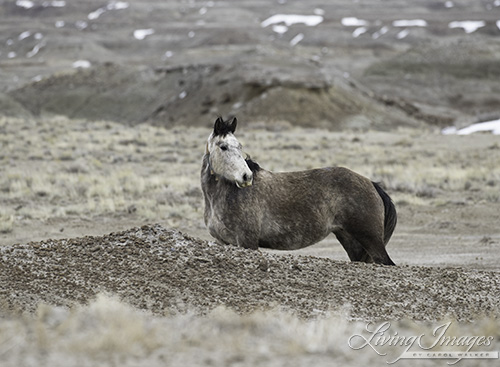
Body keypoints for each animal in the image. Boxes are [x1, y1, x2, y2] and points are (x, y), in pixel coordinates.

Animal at [201, 117, 396, 264]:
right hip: (352, 242)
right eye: (223, 146)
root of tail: (371, 183)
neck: (220, 197)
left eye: (240, 147)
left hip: (370, 239)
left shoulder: (247, 242)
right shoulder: (224, 243)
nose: (246, 177)